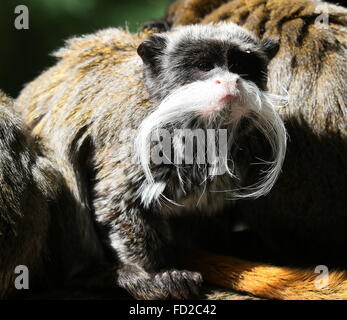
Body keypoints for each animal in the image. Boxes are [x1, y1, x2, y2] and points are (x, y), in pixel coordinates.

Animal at [11, 23, 288, 300]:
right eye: (204, 66)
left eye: (240, 65)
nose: (230, 81)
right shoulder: (137, 141)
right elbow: (118, 203)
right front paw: (158, 274)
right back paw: (97, 274)